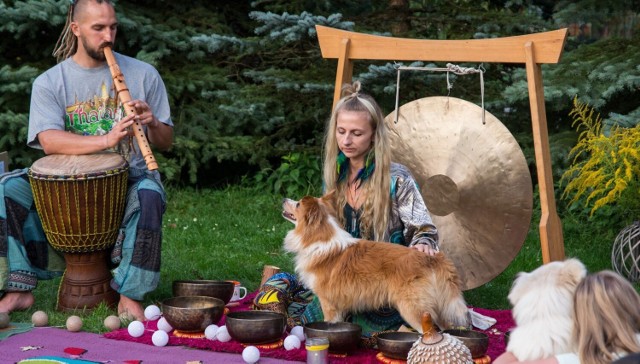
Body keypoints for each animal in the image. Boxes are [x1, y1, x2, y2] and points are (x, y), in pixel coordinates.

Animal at [282, 195, 472, 332]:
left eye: (298, 204)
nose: (283, 199)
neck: (319, 238)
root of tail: (431, 258)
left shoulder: (328, 302)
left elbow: (329, 322)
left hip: (413, 309)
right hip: (437, 308)